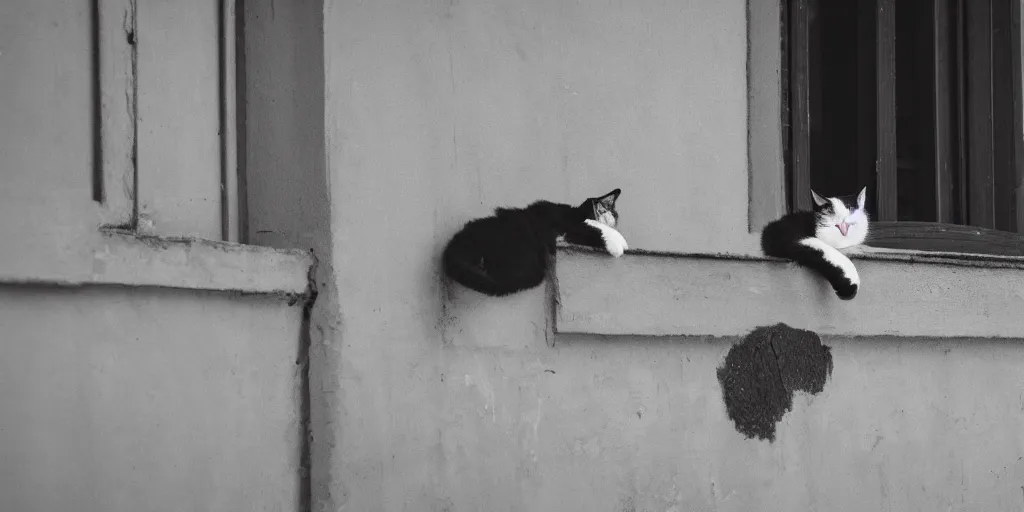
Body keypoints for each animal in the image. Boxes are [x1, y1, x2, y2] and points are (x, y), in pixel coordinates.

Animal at [444, 189, 626, 296]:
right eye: (615, 213)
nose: (618, 218)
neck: (577, 213)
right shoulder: (563, 229)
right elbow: (592, 227)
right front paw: (618, 242)